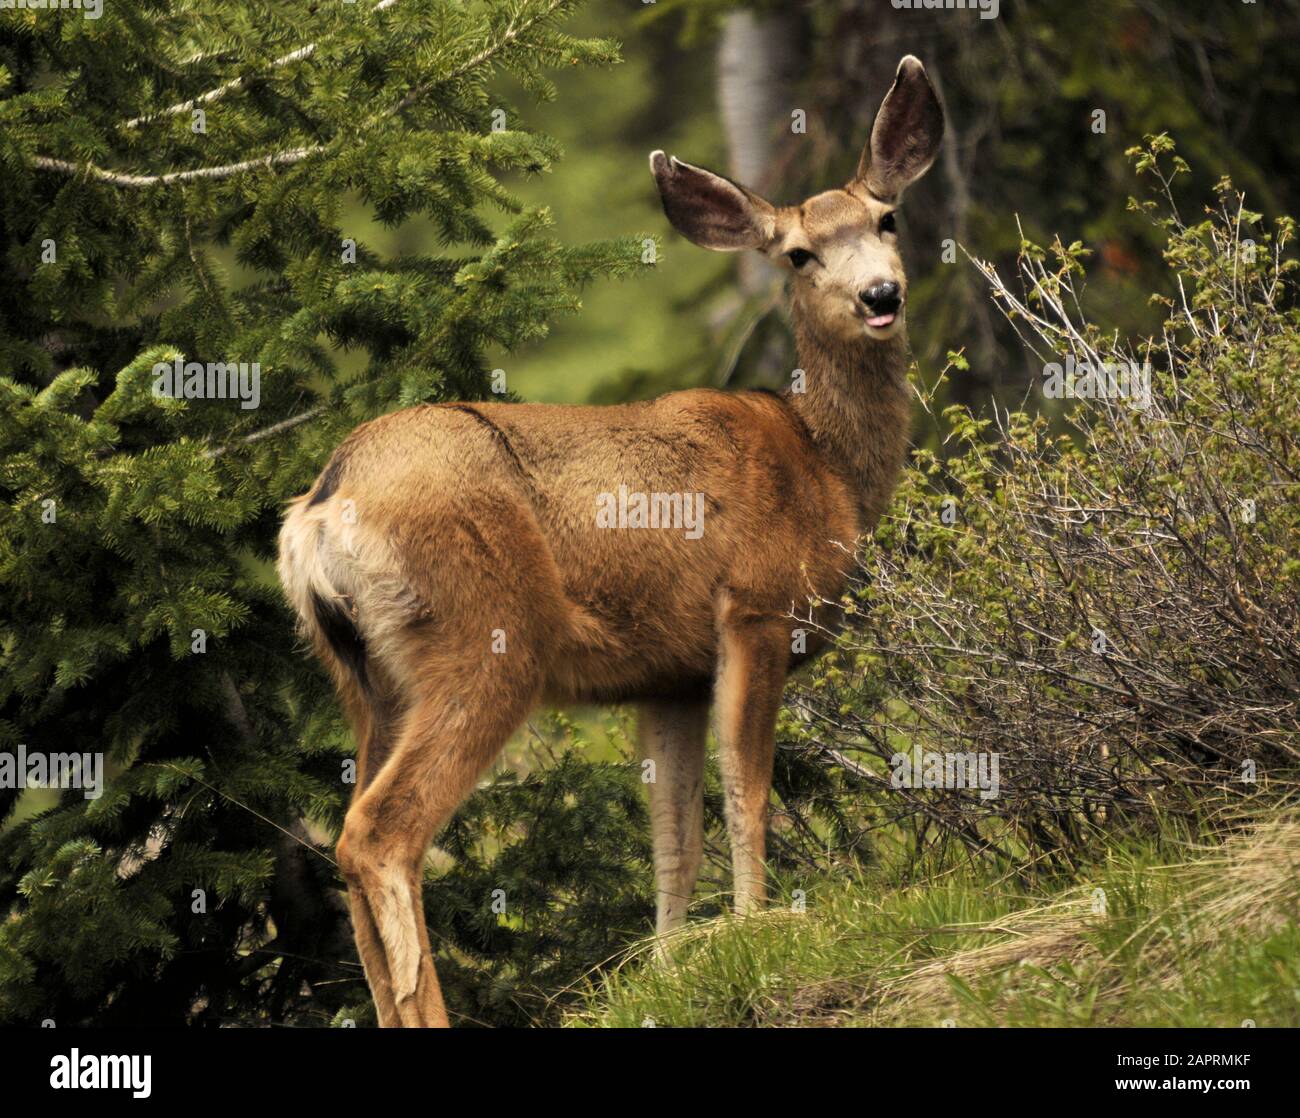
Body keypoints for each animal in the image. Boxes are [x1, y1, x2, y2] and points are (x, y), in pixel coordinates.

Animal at [277, 55, 943, 1028]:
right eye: (797, 253)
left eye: (887, 221)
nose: (880, 296)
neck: (826, 464)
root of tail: (321, 510)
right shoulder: (755, 609)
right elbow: (747, 793)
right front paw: (759, 931)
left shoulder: (668, 676)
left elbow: (675, 840)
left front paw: (668, 969)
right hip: (487, 637)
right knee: (377, 835)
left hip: (364, 680)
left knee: (343, 846)